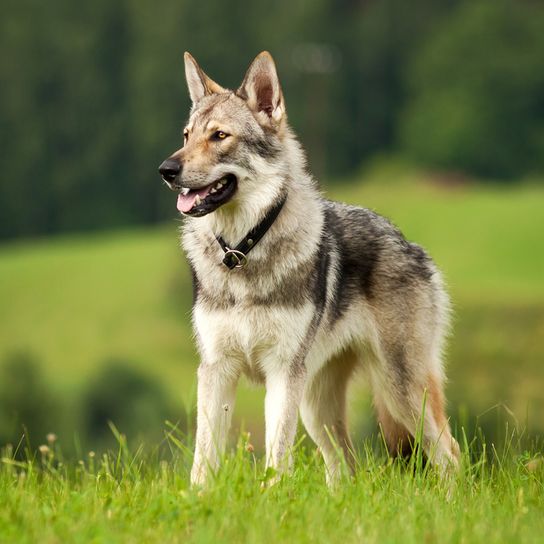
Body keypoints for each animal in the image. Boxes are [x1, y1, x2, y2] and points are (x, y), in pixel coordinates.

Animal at [157, 50, 460, 484]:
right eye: (186, 136)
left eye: (219, 136)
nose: (166, 169)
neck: (243, 252)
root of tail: (410, 243)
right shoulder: (216, 370)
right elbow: (204, 458)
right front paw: (198, 498)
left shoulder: (282, 373)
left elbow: (276, 456)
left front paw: (271, 495)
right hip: (318, 410)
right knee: (346, 470)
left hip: (398, 390)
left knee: (450, 454)